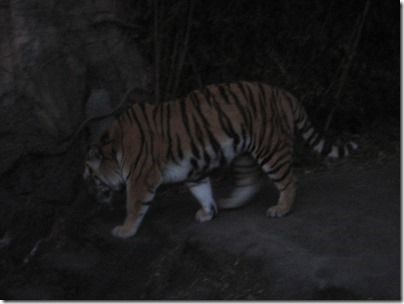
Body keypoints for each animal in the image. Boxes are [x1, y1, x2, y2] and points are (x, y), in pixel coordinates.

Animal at [83, 82, 356, 239]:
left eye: (90, 179)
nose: (91, 198)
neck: (114, 149)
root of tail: (284, 93)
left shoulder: (141, 178)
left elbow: (134, 206)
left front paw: (124, 230)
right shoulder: (193, 170)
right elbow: (202, 191)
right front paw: (208, 212)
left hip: (270, 148)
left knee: (288, 180)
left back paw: (281, 209)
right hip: (245, 153)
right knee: (251, 182)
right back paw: (229, 202)